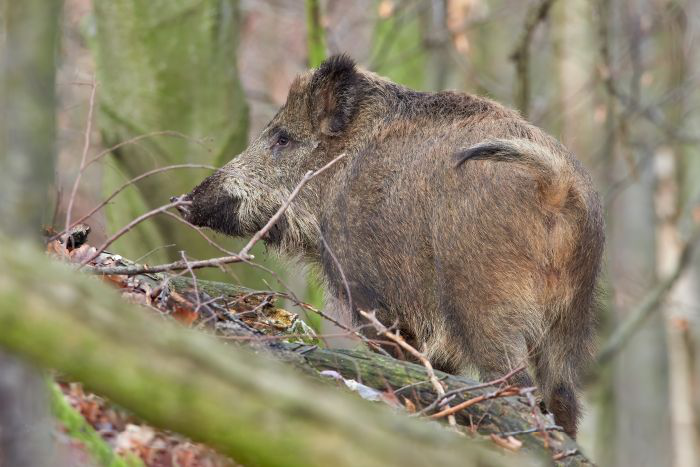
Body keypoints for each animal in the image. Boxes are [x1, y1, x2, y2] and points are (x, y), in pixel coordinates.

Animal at [174, 55, 604, 437]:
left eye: (282, 138)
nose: (184, 202)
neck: (339, 174)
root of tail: (557, 185)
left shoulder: (371, 297)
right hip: (573, 316)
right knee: (564, 397)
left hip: (484, 302)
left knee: (518, 385)